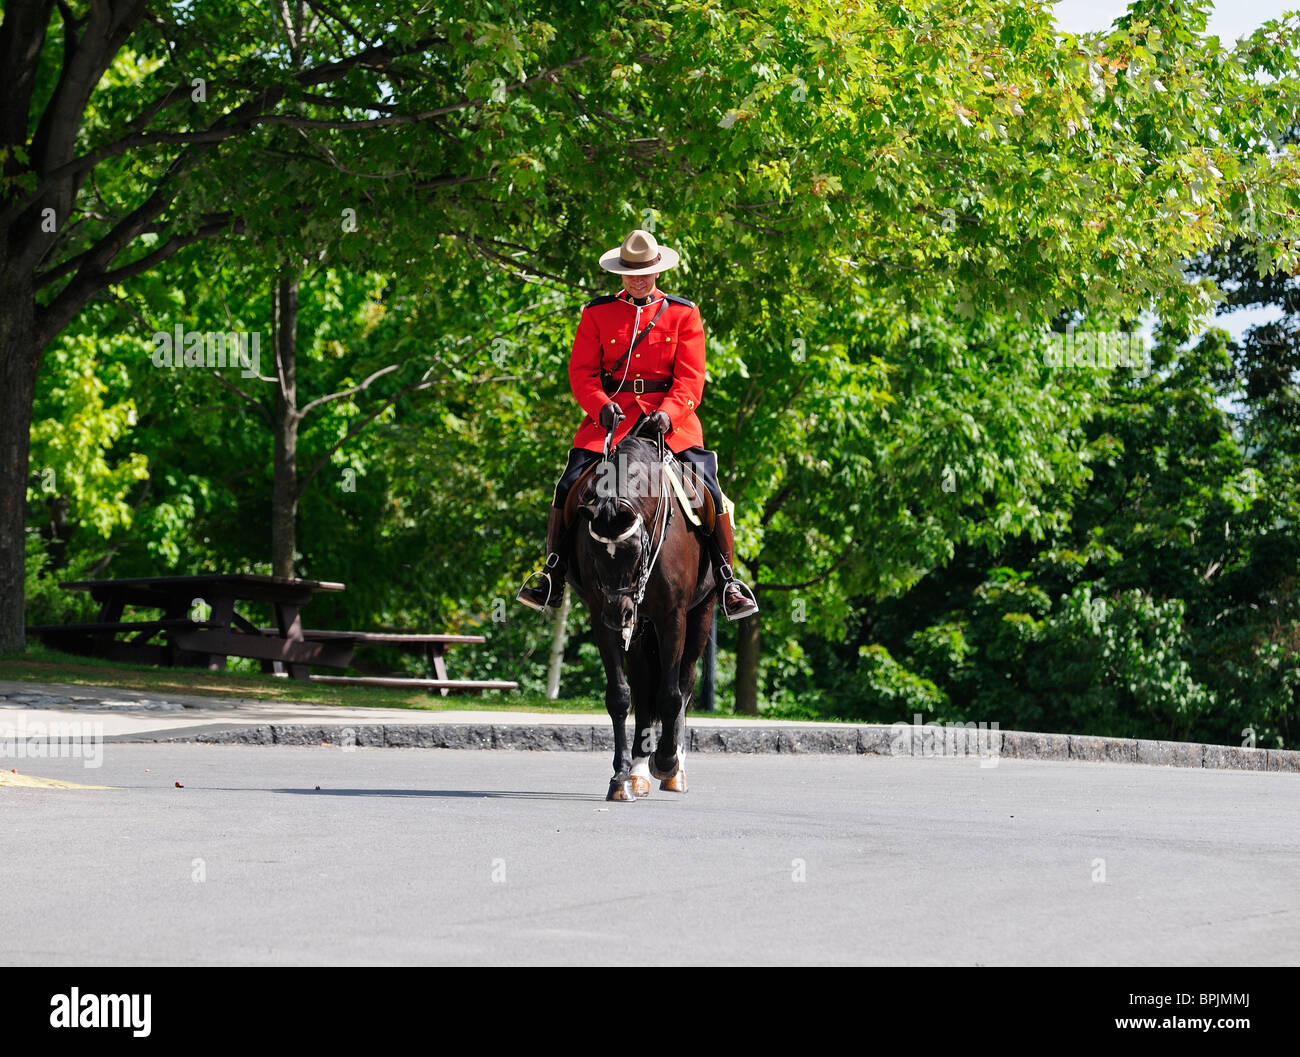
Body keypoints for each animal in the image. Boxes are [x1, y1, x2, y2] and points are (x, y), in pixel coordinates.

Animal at [568, 421, 718, 802]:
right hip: (638, 632)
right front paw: (621, 776)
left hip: (700, 615)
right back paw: (638, 770)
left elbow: (671, 695)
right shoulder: (601, 618)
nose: (618, 614)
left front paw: (665, 761)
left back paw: (675, 768)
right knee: (643, 688)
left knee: (684, 683)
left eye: (635, 551)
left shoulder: (673, 617)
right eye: (594, 553)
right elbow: (622, 696)